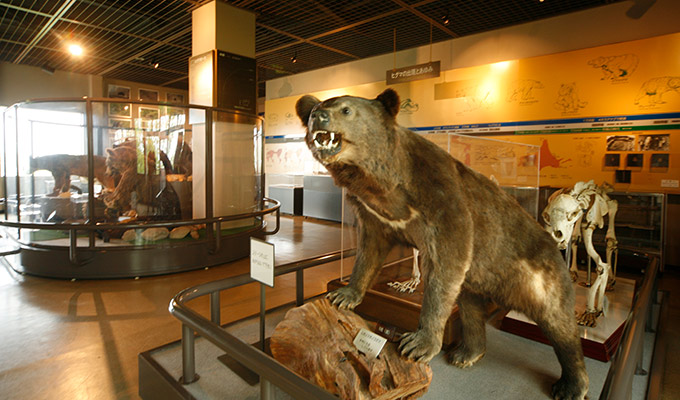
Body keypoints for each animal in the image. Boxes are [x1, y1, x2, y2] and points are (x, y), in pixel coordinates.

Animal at [298, 90, 588, 400]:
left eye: (346, 109)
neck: (384, 183)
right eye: (315, 108)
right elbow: (370, 252)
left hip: (540, 276)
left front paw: (417, 343)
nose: (318, 116)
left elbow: (445, 264)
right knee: (471, 312)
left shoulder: (441, 196)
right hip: (475, 282)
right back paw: (466, 353)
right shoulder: (374, 213)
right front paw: (343, 294)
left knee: (560, 325)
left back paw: (571, 385)